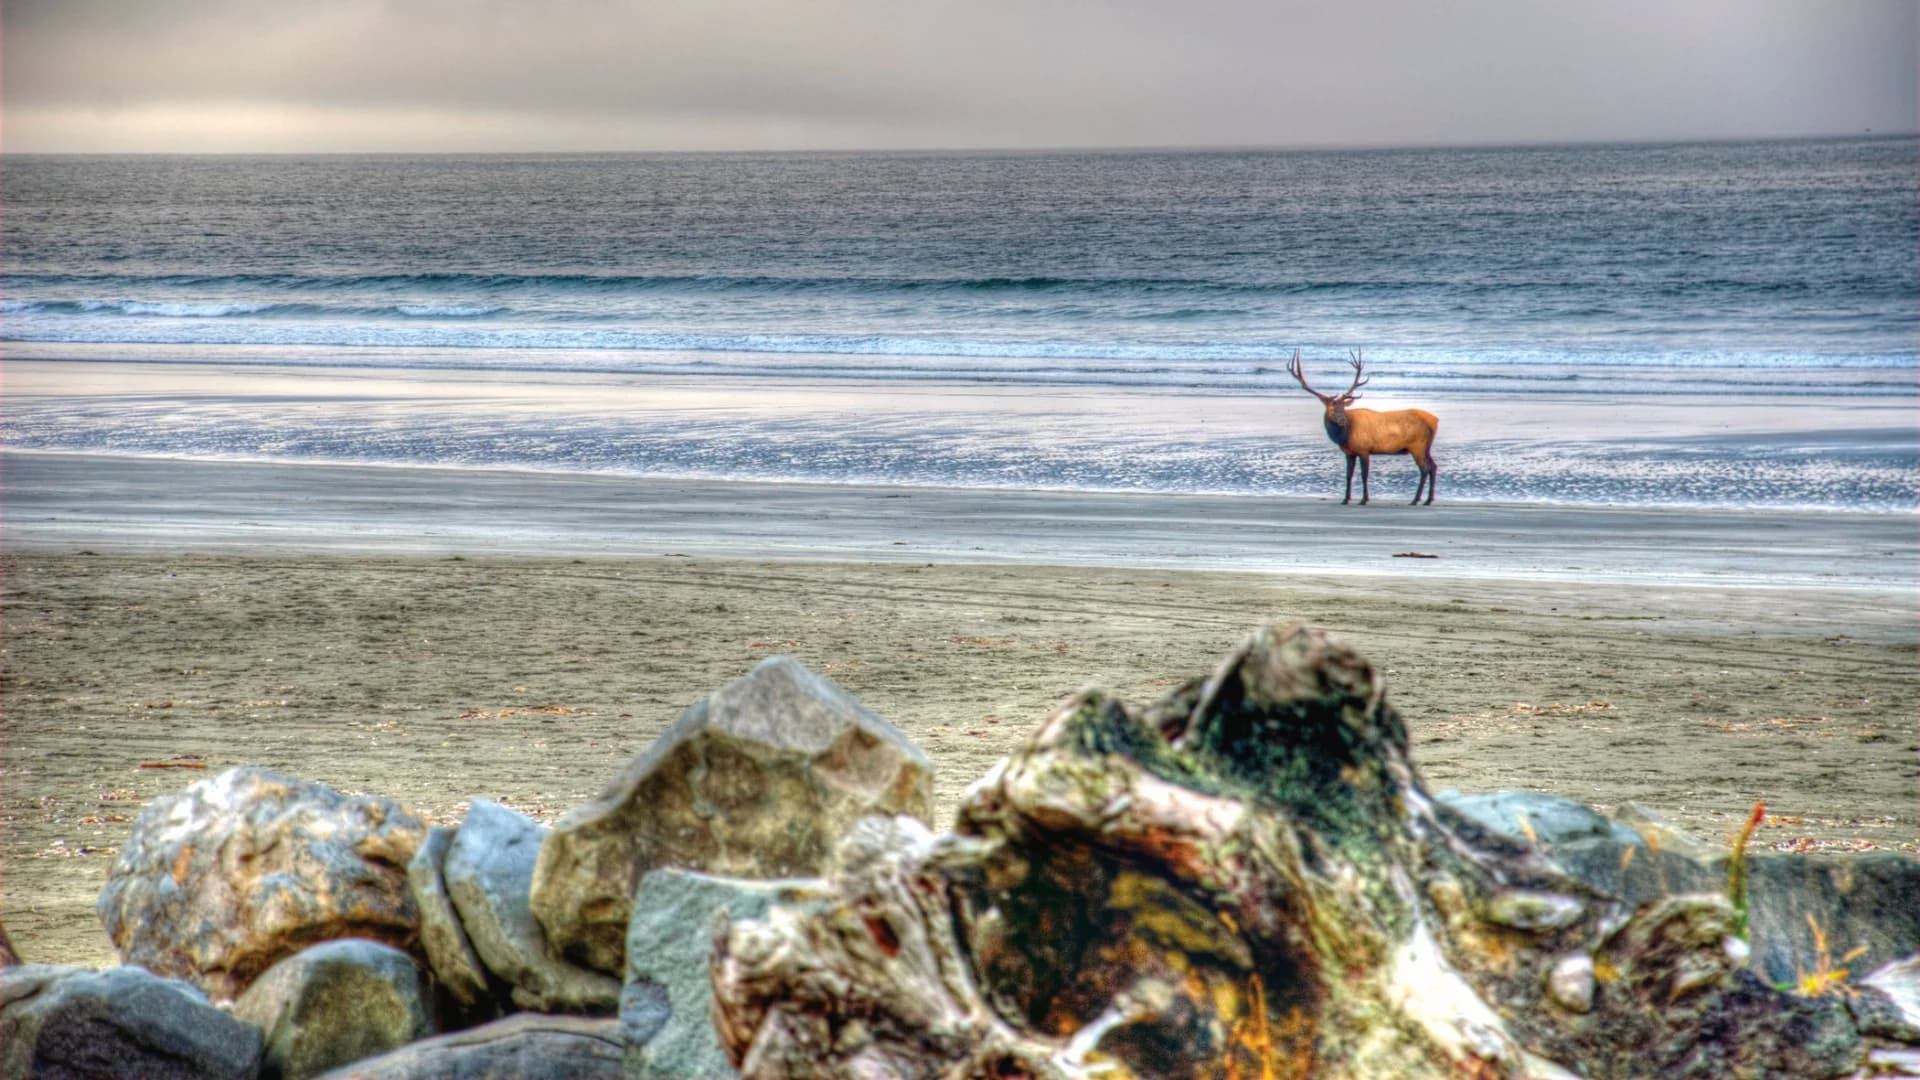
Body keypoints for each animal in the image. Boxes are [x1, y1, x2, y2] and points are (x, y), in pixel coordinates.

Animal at [1286, 349, 1439, 505]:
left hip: (1417, 445)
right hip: (1425, 447)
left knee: (1425, 468)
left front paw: (1364, 499)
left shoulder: (1364, 449)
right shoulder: (1349, 452)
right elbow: (1348, 475)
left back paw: (1416, 499)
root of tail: (1434, 421)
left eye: (1343, 408)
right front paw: (1345, 499)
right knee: (1433, 466)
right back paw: (1428, 499)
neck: (1344, 436)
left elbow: (1364, 475)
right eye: (1332, 409)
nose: (1342, 420)